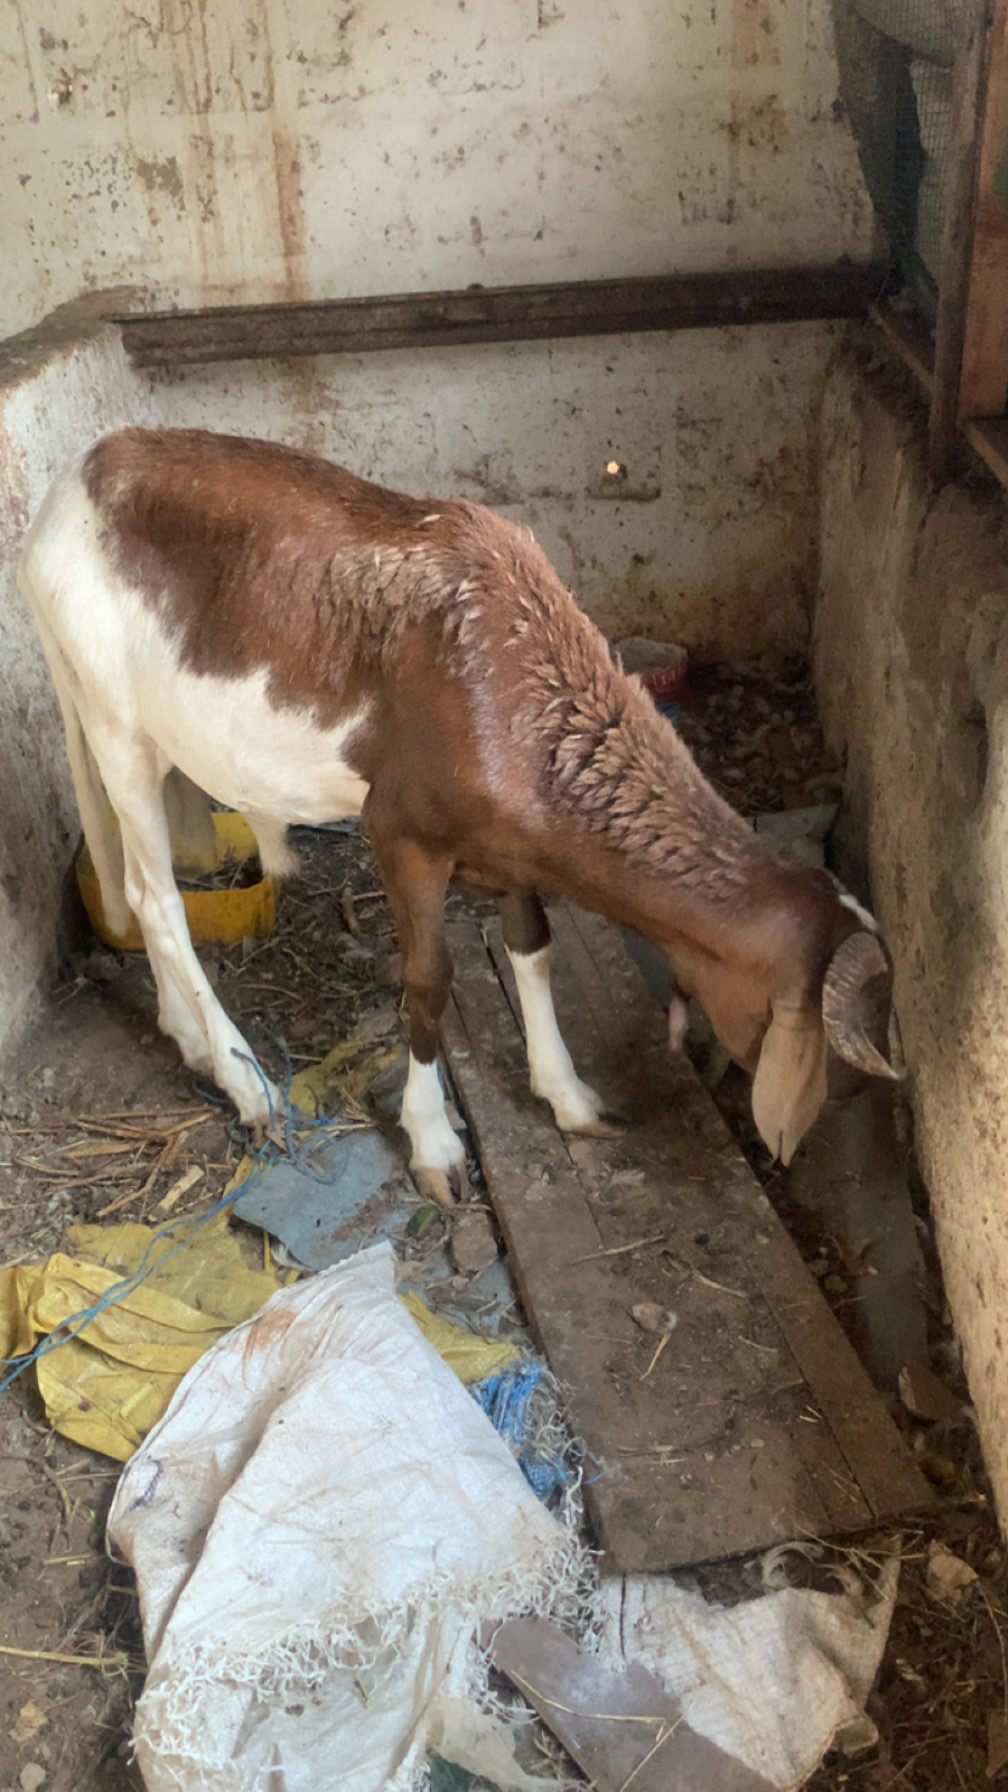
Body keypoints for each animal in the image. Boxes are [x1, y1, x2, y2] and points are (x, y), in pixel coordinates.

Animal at [19, 427, 899, 1205]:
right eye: (839, 1081)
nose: (790, 1153)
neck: (516, 685)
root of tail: (69, 486)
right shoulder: (402, 833)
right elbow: (428, 979)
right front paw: (435, 1143)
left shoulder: (512, 843)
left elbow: (532, 947)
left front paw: (568, 1095)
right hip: (114, 723)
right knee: (158, 900)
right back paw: (244, 1081)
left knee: (142, 892)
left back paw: (189, 1038)